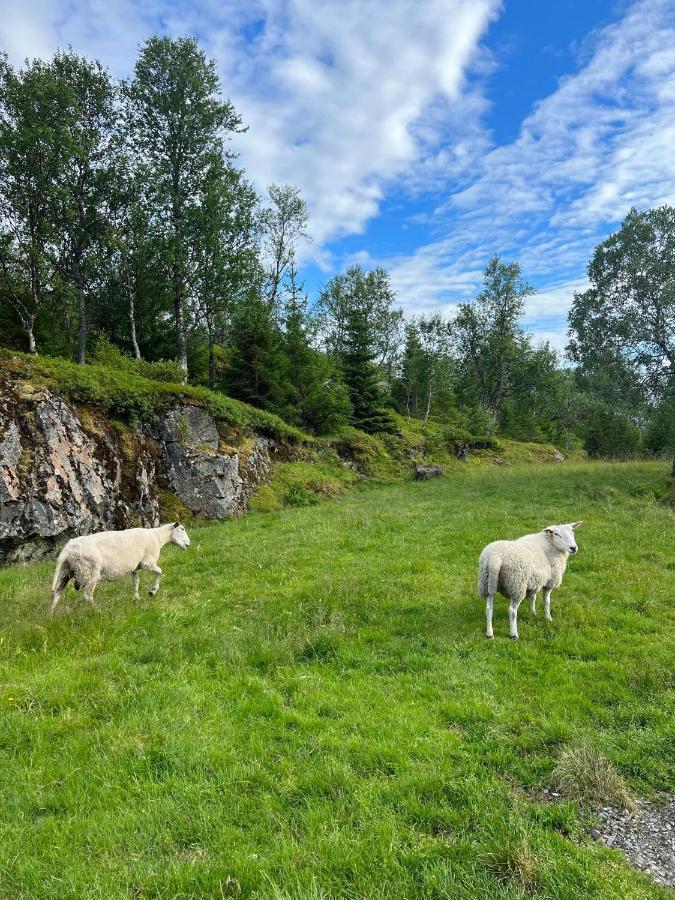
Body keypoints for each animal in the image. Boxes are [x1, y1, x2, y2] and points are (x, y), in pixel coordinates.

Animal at [50, 516, 190, 616]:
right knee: (87, 595)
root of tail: (68, 549)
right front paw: (152, 591)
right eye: (182, 529)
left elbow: (136, 581)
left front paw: (136, 598)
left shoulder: (135, 567)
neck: (158, 537)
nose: (189, 543)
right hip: (91, 571)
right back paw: (97, 611)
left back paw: (50, 616)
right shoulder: (147, 563)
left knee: (56, 593)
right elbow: (160, 571)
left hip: (66, 571)